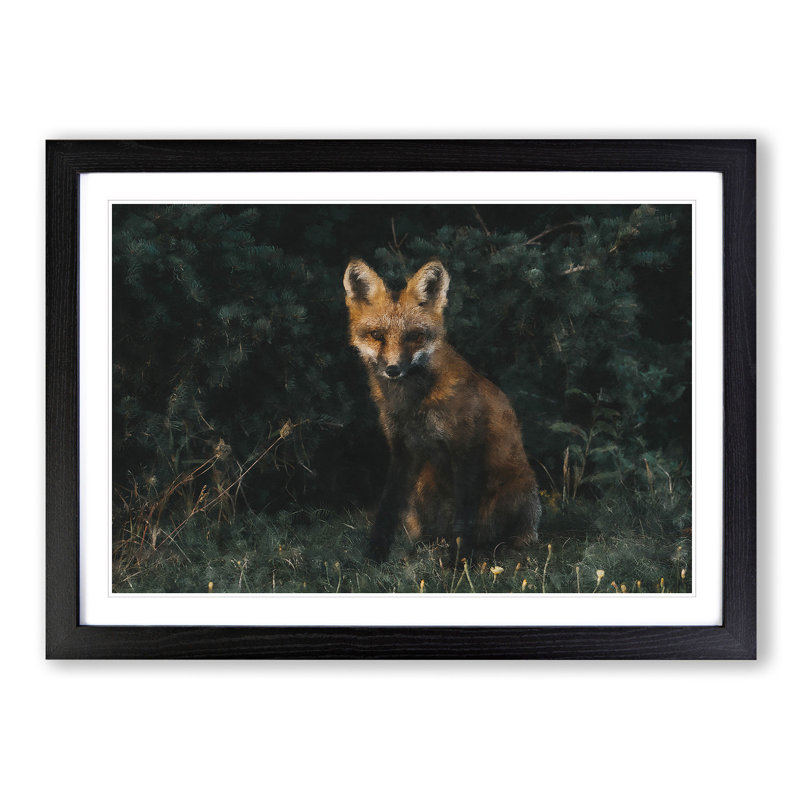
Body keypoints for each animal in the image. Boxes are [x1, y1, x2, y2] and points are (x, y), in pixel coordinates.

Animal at [344, 258, 540, 562]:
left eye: (415, 336)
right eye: (377, 335)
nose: (393, 369)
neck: (413, 406)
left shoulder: (465, 448)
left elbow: (465, 514)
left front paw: (460, 562)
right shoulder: (401, 450)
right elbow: (387, 508)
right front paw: (374, 555)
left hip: (520, 491)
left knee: (504, 536)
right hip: (421, 491)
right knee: (430, 532)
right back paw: (426, 545)